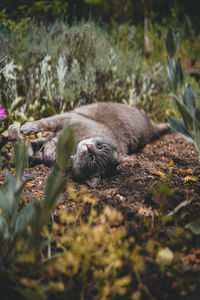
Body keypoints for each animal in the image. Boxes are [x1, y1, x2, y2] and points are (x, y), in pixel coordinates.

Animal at [9, 102, 170, 185]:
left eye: (92, 161)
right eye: (101, 147)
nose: (89, 147)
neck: (71, 148)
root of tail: (151, 128)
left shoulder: (45, 148)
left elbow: (27, 148)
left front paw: (14, 133)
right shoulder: (69, 118)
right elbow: (46, 122)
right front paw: (26, 127)